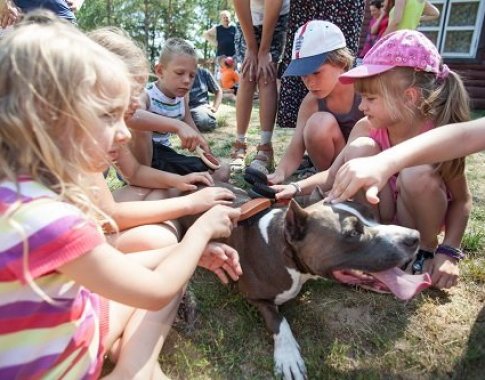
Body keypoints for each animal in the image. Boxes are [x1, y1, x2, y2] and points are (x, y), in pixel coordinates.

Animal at [179, 188, 428, 380]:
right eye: (352, 233)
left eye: (373, 215)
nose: (414, 236)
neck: (282, 246)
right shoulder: (255, 297)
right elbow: (279, 320)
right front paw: (288, 356)